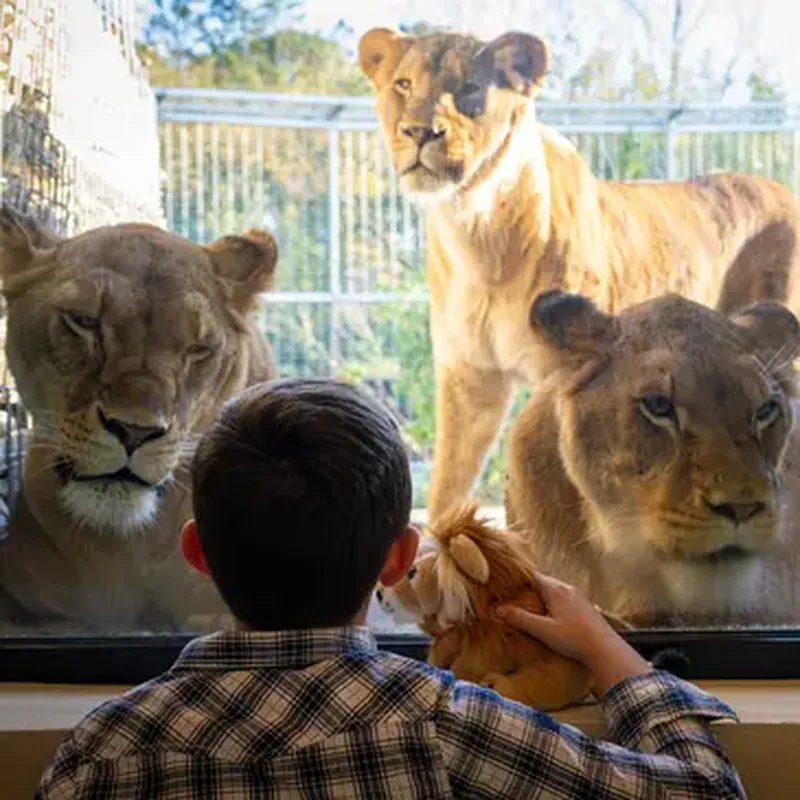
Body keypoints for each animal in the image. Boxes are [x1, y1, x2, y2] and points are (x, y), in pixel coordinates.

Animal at [358, 27, 800, 522]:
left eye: (470, 87)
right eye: (403, 85)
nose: (418, 131)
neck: (477, 237)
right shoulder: (468, 380)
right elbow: (448, 489)